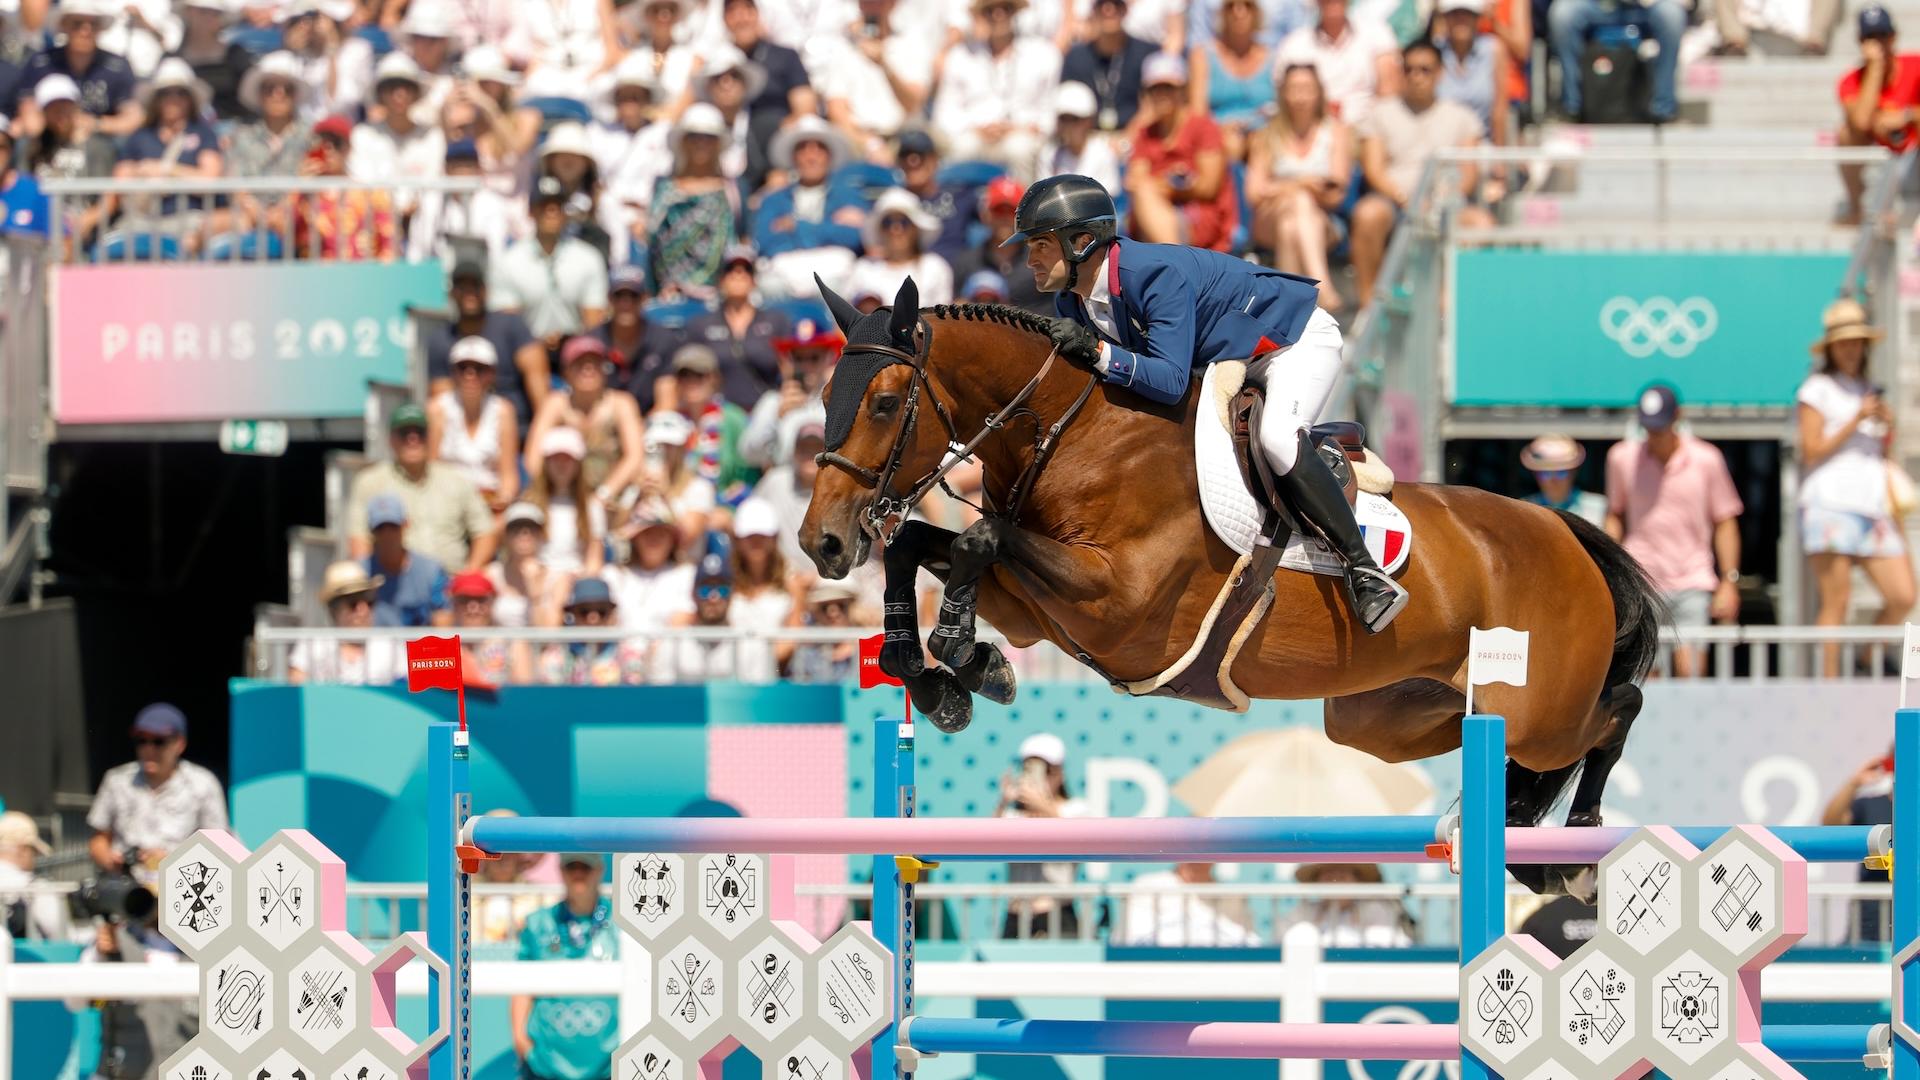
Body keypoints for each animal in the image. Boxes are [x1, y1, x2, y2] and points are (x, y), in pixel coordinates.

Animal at [794, 278, 1666, 891]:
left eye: (883, 402)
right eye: (826, 398)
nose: (821, 543)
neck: (1075, 431)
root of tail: (1565, 532)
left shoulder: (1116, 604)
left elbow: (977, 538)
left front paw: (956, 652)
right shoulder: (1035, 608)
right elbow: (921, 545)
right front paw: (945, 677)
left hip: (1542, 706)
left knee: (1616, 710)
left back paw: (1580, 839)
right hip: (1385, 720)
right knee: (1503, 747)